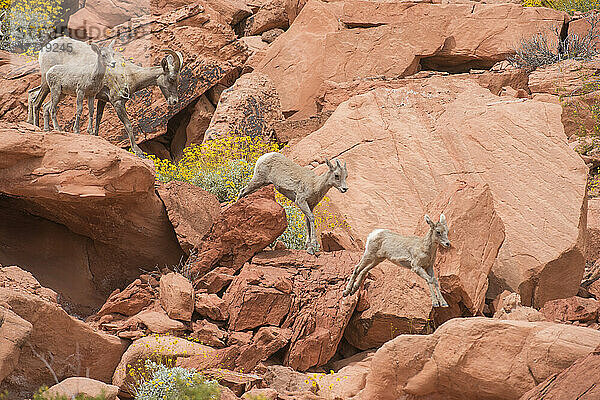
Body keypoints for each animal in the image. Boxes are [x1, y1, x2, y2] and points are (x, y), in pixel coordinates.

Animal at [28, 36, 183, 156]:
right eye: (171, 79)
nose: (174, 101)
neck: (130, 74)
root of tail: (43, 50)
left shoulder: (102, 100)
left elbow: (97, 120)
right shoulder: (117, 102)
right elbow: (128, 125)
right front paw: (138, 151)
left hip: (61, 93)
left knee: (40, 101)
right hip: (48, 85)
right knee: (37, 102)